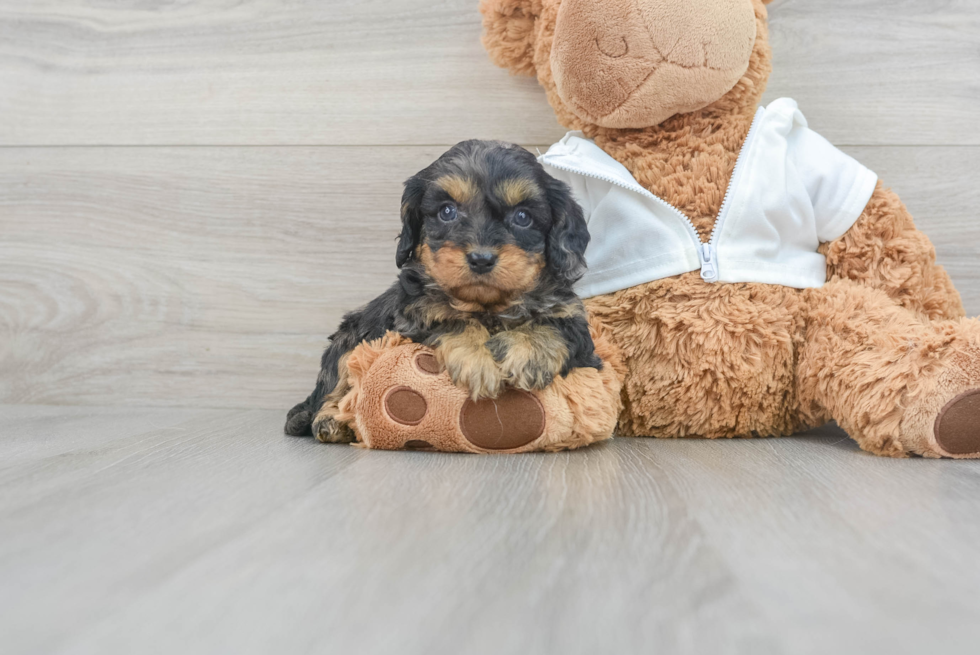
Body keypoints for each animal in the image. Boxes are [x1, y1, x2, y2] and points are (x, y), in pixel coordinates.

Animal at [288, 140, 600, 444]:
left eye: (523, 216)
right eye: (447, 211)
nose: (481, 259)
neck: (488, 306)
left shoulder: (575, 323)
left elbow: (555, 326)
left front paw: (529, 353)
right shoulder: (414, 313)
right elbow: (452, 319)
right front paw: (479, 360)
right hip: (348, 340)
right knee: (331, 387)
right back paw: (330, 420)